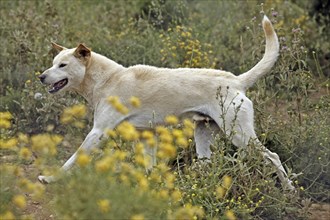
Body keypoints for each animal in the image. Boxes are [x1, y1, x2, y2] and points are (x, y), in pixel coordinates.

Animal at [38, 15, 294, 191]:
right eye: (52, 63)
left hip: (239, 135)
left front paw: (50, 178)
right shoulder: (145, 136)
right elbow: (149, 167)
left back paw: (289, 190)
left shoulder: (98, 132)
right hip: (204, 135)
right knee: (207, 165)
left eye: (62, 65)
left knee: (273, 156)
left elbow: (72, 159)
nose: (41, 76)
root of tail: (237, 80)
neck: (106, 79)